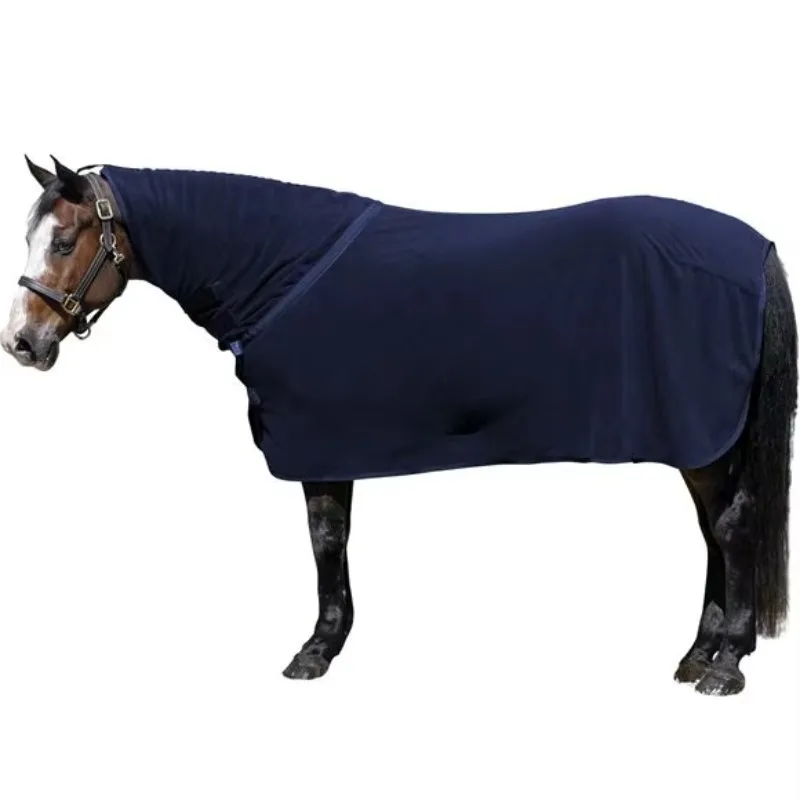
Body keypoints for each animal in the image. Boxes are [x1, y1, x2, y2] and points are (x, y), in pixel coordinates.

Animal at [2, 155, 796, 695]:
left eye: (65, 241)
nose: (22, 343)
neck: (284, 273)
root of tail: (754, 250)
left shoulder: (318, 443)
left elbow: (326, 539)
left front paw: (317, 650)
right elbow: (332, 539)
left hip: (701, 439)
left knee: (732, 529)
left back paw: (725, 663)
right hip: (704, 442)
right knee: (717, 532)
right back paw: (698, 653)